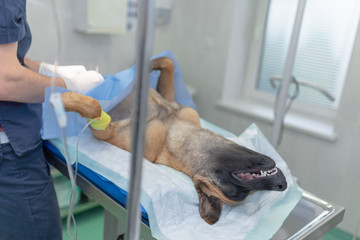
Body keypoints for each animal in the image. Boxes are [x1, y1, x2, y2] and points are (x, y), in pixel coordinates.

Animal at [61, 56, 286, 225]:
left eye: (238, 194)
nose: (282, 185)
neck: (173, 133)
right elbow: (167, 62)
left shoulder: (108, 134)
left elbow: (96, 110)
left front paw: (70, 101)